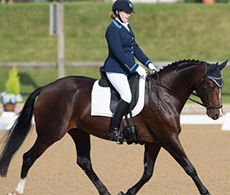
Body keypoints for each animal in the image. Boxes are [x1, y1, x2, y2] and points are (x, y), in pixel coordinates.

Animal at [0, 59, 227, 195]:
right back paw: (18, 190)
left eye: (221, 86)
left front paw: (127, 192)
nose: (217, 114)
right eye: (210, 86)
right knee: (28, 156)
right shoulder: (168, 138)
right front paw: (206, 192)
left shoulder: (155, 142)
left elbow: (148, 172)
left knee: (84, 162)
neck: (164, 94)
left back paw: (106, 192)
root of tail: (47, 88)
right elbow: (189, 167)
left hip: (79, 132)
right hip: (50, 133)